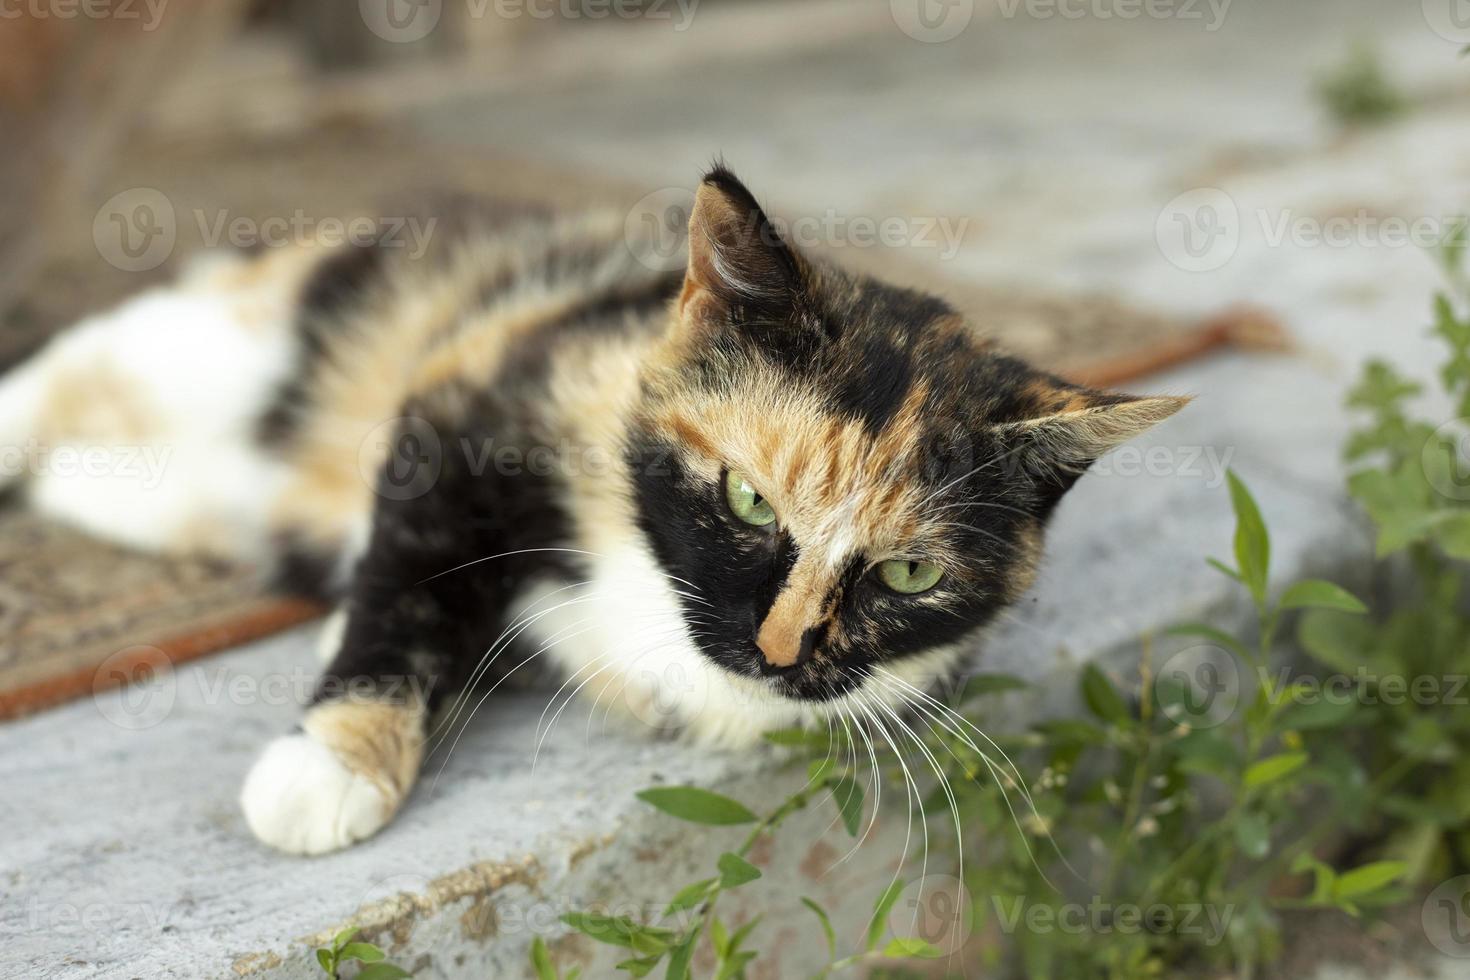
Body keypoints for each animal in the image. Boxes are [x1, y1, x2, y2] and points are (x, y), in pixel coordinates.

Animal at [0, 166, 1181, 852]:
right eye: (748, 498)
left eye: (910, 572)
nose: (782, 648)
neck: (643, 577)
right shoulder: (472, 394)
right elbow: (412, 587)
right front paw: (331, 762)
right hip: (239, 340)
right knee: (77, 365)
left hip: (197, 495)